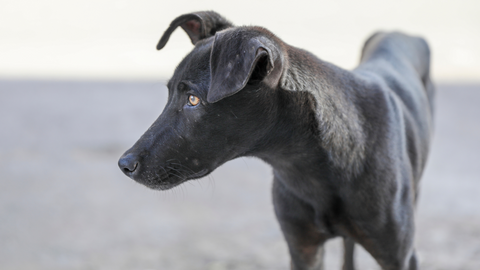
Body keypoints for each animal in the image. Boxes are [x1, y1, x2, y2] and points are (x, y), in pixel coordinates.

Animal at [119, 11, 436, 270]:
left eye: (193, 99)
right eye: (170, 93)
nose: (124, 165)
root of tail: (400, 32)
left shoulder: (400, 258)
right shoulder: (303, 249)